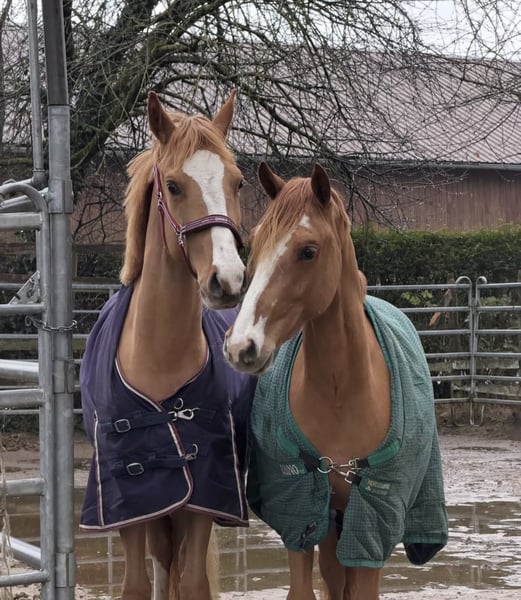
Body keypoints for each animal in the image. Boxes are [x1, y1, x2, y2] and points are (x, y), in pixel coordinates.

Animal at [79, 91, 255, 600]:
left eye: (238, 182)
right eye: (174, 186)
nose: (227, 279)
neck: (158, 357)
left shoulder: (205, 495)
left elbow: (194, 583)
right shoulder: (131, 505)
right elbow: (137, 586)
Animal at [224, 162, 448, 599]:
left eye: (308, 251)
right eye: (254, 242)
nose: (241, 345)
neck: (341, 394)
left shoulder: (374, 525)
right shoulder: (300, 514)